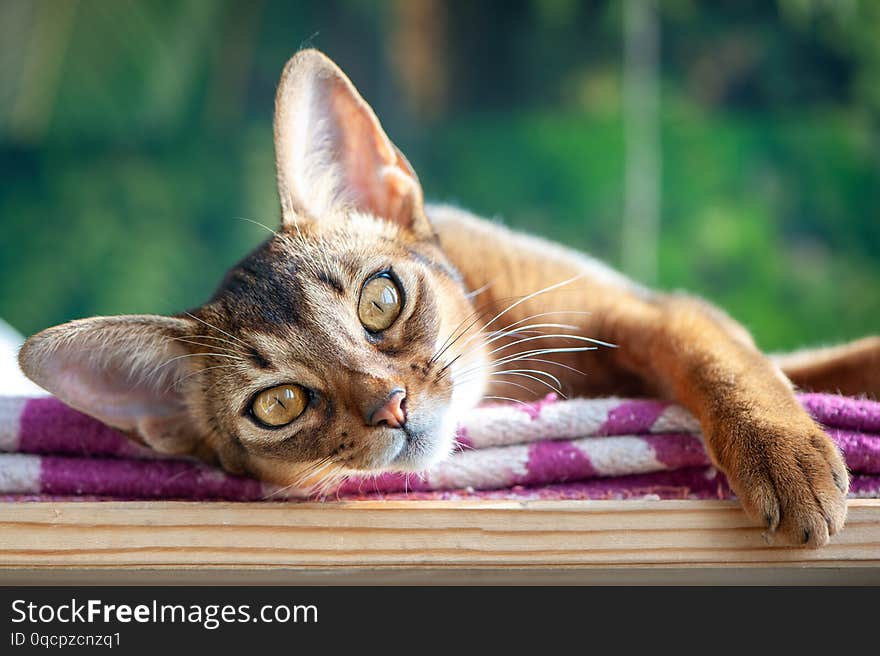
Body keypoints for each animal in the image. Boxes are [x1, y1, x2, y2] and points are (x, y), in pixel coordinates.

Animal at [20, 48, 880, 544]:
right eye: (279, 404)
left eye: (380, 301)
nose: (390, 405)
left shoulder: (653, 309)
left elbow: (732, 364)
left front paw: (784, 453)